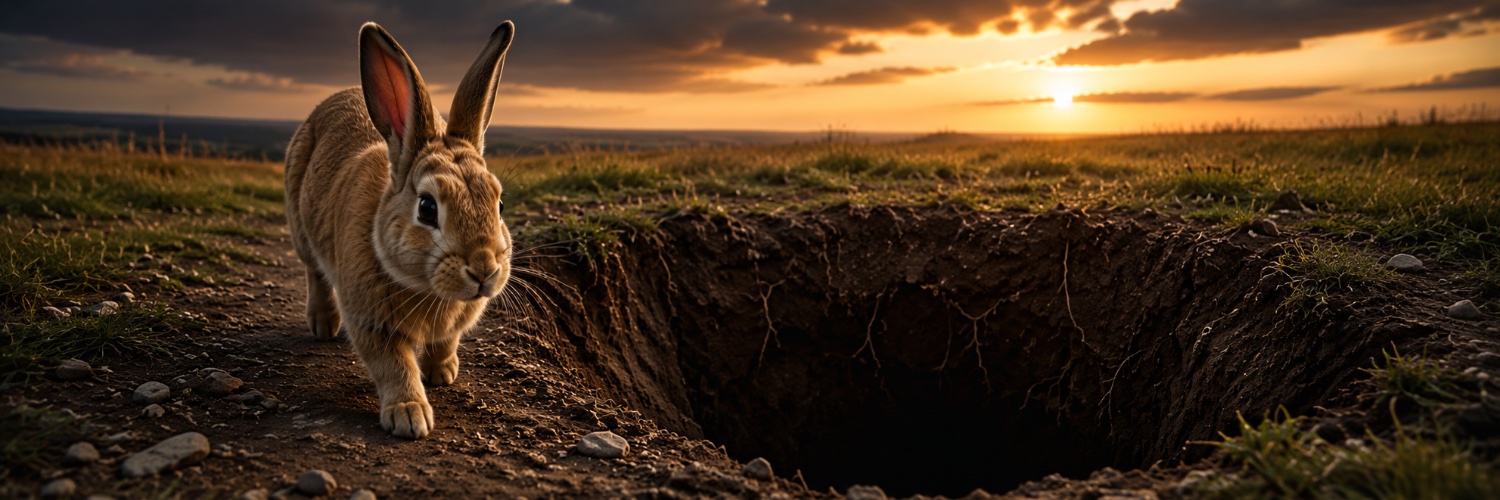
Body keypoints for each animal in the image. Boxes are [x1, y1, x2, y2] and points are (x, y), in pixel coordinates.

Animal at [283, 21, 515, 439]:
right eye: (427, 208)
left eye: (499, 203)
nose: (485, 270)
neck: (428, 288)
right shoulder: (373, 323)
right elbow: (394, 366)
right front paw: (410, 416)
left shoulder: (453, 326)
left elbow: (445, 343)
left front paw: (443, 372)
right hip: (301, 228)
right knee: (314, 271)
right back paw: (323, 324)